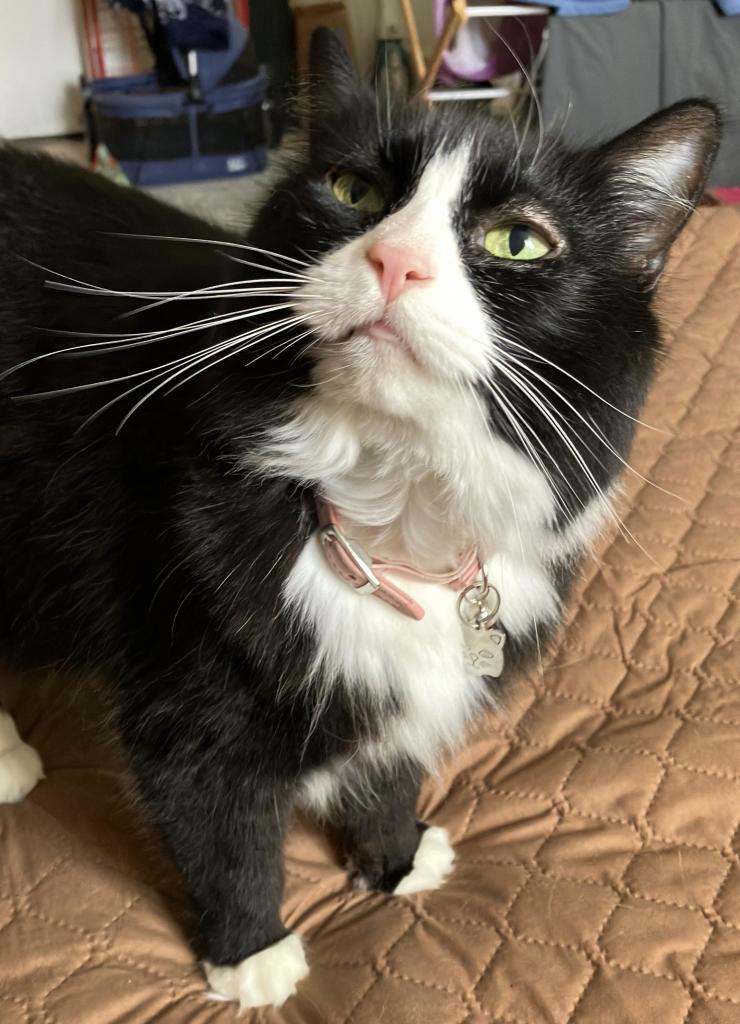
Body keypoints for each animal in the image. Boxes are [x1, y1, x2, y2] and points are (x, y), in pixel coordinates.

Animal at [0, 29, 716, 1007]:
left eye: (519, 240)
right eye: (354, 192)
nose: (394, 262)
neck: (388, 512)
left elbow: (389, 766)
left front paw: (397, 856)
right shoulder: (180, 703)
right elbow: (221, 828)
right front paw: (252, 953)